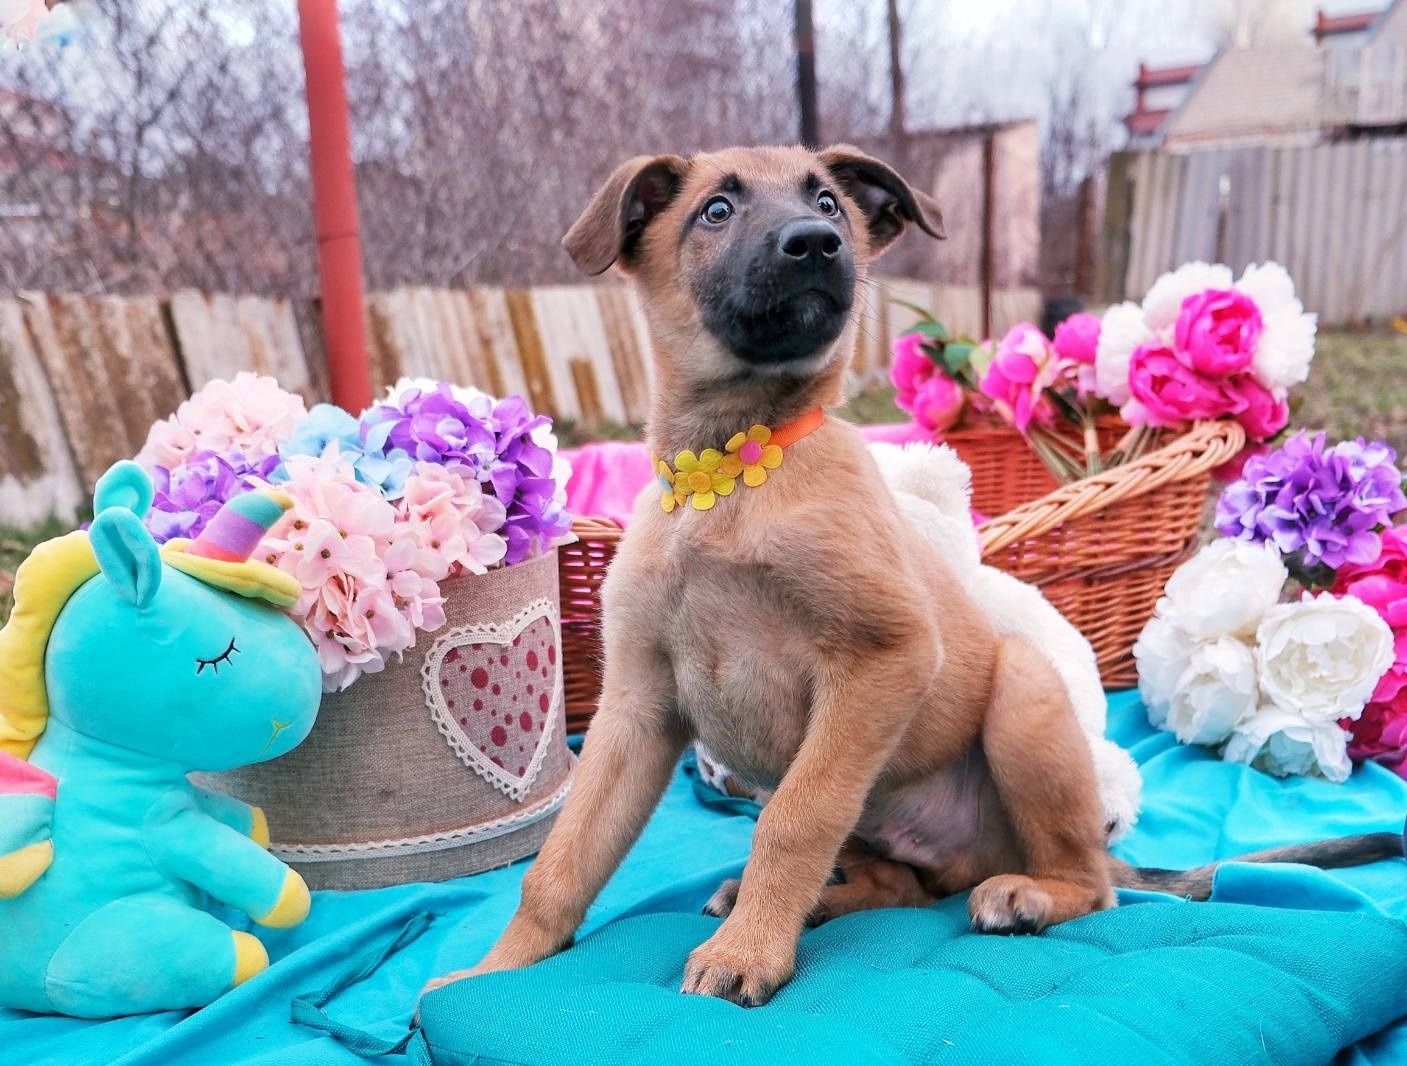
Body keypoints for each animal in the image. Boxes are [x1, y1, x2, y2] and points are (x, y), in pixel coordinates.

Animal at [430, 144, 1407, 1012]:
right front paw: (491, 972)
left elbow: (792, 822)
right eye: (716, 210)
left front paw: (748, 953)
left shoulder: (885, 656)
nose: (815, 245)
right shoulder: (637, 710)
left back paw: (1023, 894)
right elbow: (561, 865)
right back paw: (810, 898)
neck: (730, 474)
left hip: (1020, 696)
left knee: (1091, 885)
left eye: (829, 202)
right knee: (899, 883)